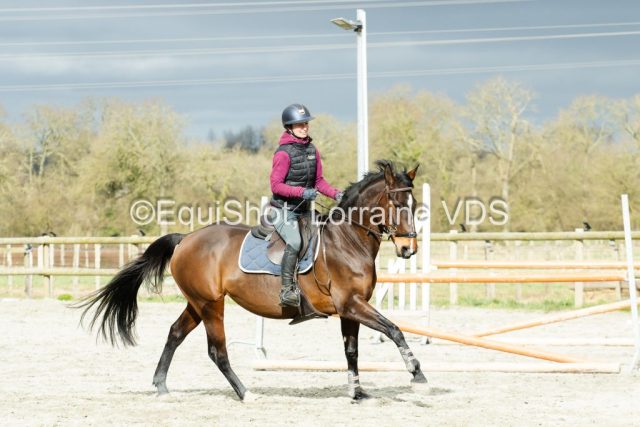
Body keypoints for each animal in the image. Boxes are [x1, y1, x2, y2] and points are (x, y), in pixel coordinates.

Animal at [78, 160, 427, 401]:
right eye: (397, 204)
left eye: (415, 206)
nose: (408, 249)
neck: (348, 240)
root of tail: (185, 239)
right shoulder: (351, 304)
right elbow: (394, 330)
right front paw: (416, 372)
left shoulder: (350, 309)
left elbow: (352, 351)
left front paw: (357, 392)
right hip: (211, 305)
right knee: (217, 351)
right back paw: (246, 393)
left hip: (196, 303)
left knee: (175, 333)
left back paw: (162, 386)